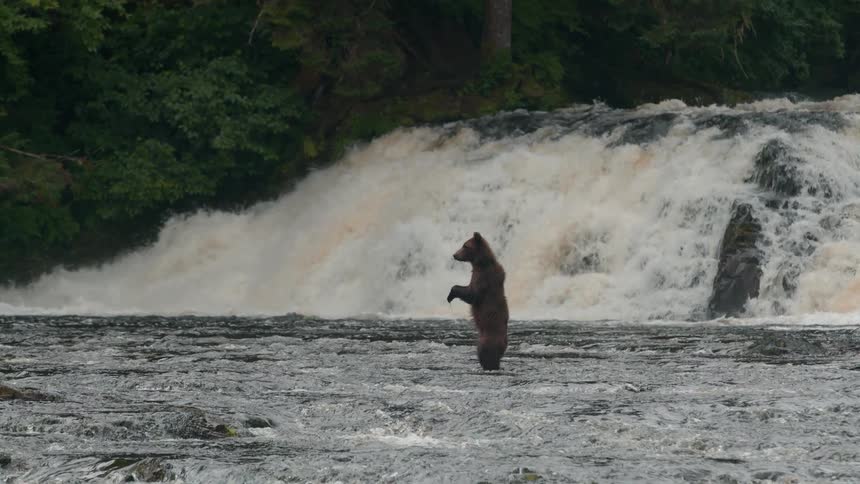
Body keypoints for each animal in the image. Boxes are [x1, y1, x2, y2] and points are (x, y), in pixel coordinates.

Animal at [446, 232, 509, 370]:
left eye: (465, 246)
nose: (454, 255)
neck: (480, 263)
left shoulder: (483, 278)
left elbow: (472, 295)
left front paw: (450, 294)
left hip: (488, 338)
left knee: (485, 352)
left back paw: (489, 365)